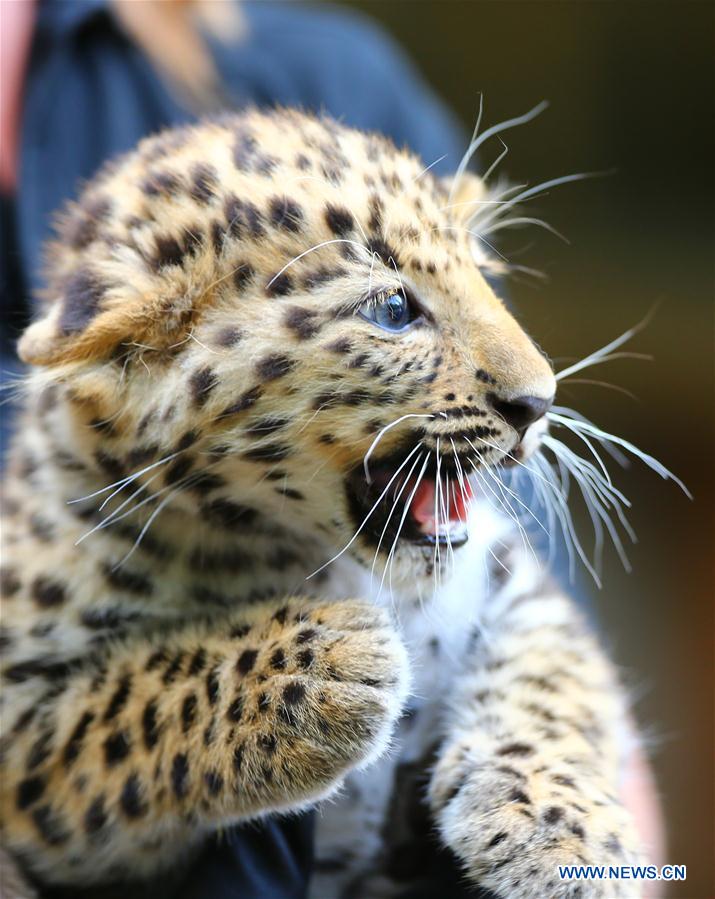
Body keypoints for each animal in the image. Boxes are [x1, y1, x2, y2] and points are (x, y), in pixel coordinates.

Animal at [0, 106, 649, 898]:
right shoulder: (20, 723)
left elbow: (552, 681)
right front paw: (324, 665)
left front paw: (562, 834)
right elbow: (136, 701)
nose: (539, 402)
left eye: (483, 278)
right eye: (394, 309)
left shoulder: (508, 580)